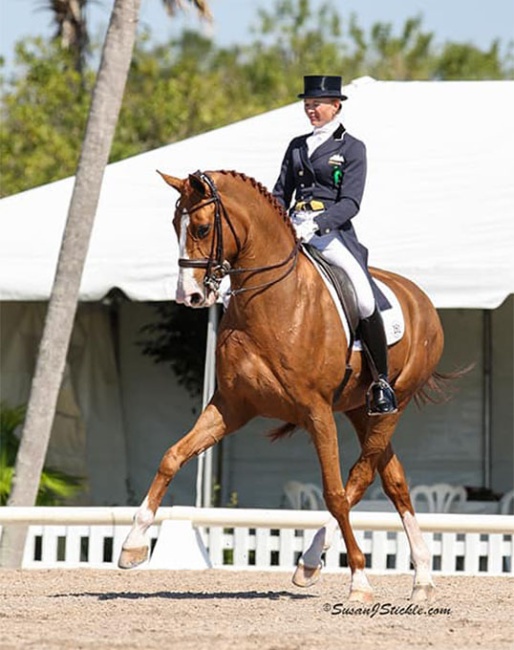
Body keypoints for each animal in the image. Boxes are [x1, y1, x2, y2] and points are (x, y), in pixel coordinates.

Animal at [118, 168, 446, 604]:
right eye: (175, 225)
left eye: (202, 228)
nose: (188, 295)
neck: (273, 302)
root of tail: (421, 298)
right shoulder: (232, 406)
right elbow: (172, 456)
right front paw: (133, 544)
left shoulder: (317, 412)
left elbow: (334, 492)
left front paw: (359, 579)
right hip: (363, 411)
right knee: (394, 480)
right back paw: (420, 577)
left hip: (395, 402)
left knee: (360, 477)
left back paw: (315, 561)